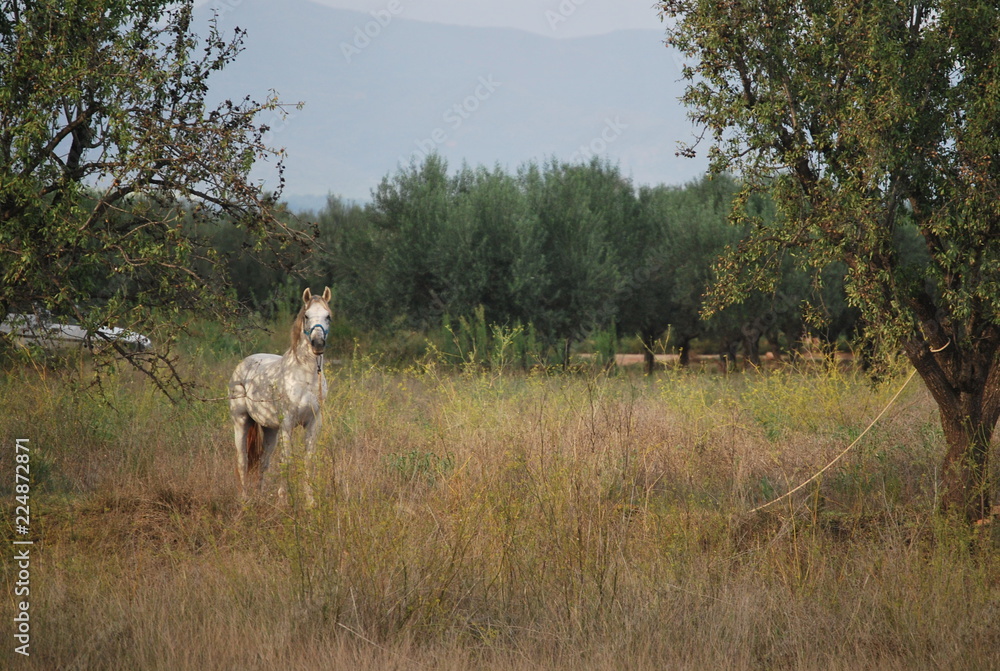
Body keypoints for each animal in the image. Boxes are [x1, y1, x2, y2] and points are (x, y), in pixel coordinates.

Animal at [228, 287, 332, 505]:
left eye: (328, 316)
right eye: (306, 316)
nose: (318, 344)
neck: (305, 377)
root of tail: (243, 364)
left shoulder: (313, 423)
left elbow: (308, 460)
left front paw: (310, 502)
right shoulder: (288, 423)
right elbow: (287, 459)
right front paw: (283, 501)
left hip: (270, 430)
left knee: (263, 462)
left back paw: (259, 497)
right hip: (241, 421)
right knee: (242, 460)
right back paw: (244, 500)